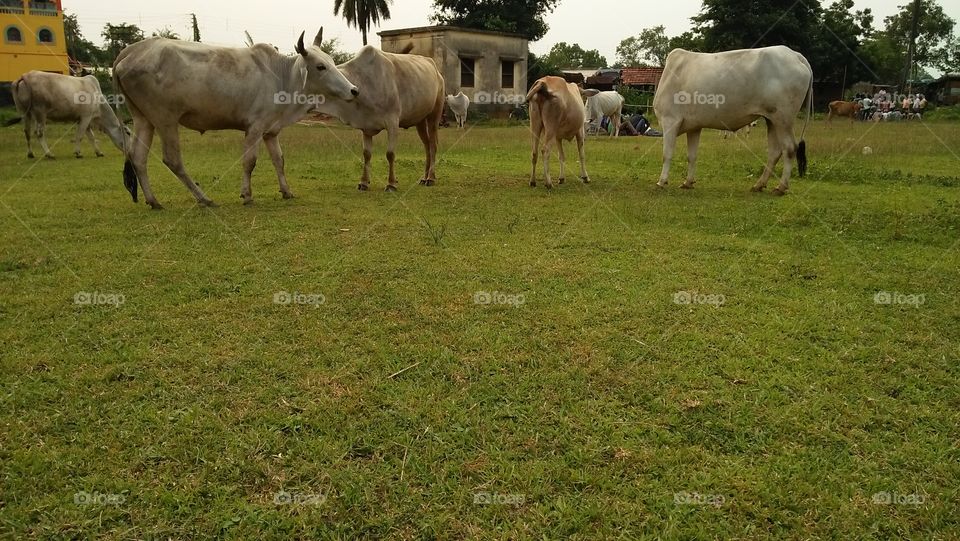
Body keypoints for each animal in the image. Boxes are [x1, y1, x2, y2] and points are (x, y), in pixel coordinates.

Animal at [113, 28, 358, 209]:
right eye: (320, 66)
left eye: (332, 61)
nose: (354, 90)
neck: (282, 77)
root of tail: (131, 51)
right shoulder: (255, 128)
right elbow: (250, 162)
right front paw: (247, 195)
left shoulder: (271, 131)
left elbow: (279, 160)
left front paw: (286, 191)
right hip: (166, 120)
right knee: (172, 160)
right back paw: (203, 198)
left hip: (143, 119)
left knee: (138, 157)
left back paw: (153, 201)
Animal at [312, 45, 444, 191]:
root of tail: (436, 70)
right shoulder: (365, 126)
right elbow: (366, 154)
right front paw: (364, 182)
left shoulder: (392, 123)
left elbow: (390, 154)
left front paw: (391, 184)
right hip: (420, 120)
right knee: (426, 145)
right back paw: (424, 177)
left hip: (434, 115)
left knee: (433, 145)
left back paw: (431, 178)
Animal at [653, 46, 813, 195]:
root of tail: (795, 55)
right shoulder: (694, 127)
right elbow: (692, 156)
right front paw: (688, 182)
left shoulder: (670, 121)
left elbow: (667, 154)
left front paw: (661, 181)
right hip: (771, 119)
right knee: (774, 152)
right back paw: (759, 185)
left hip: (783, 118)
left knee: (790, 148)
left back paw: (781, 187)